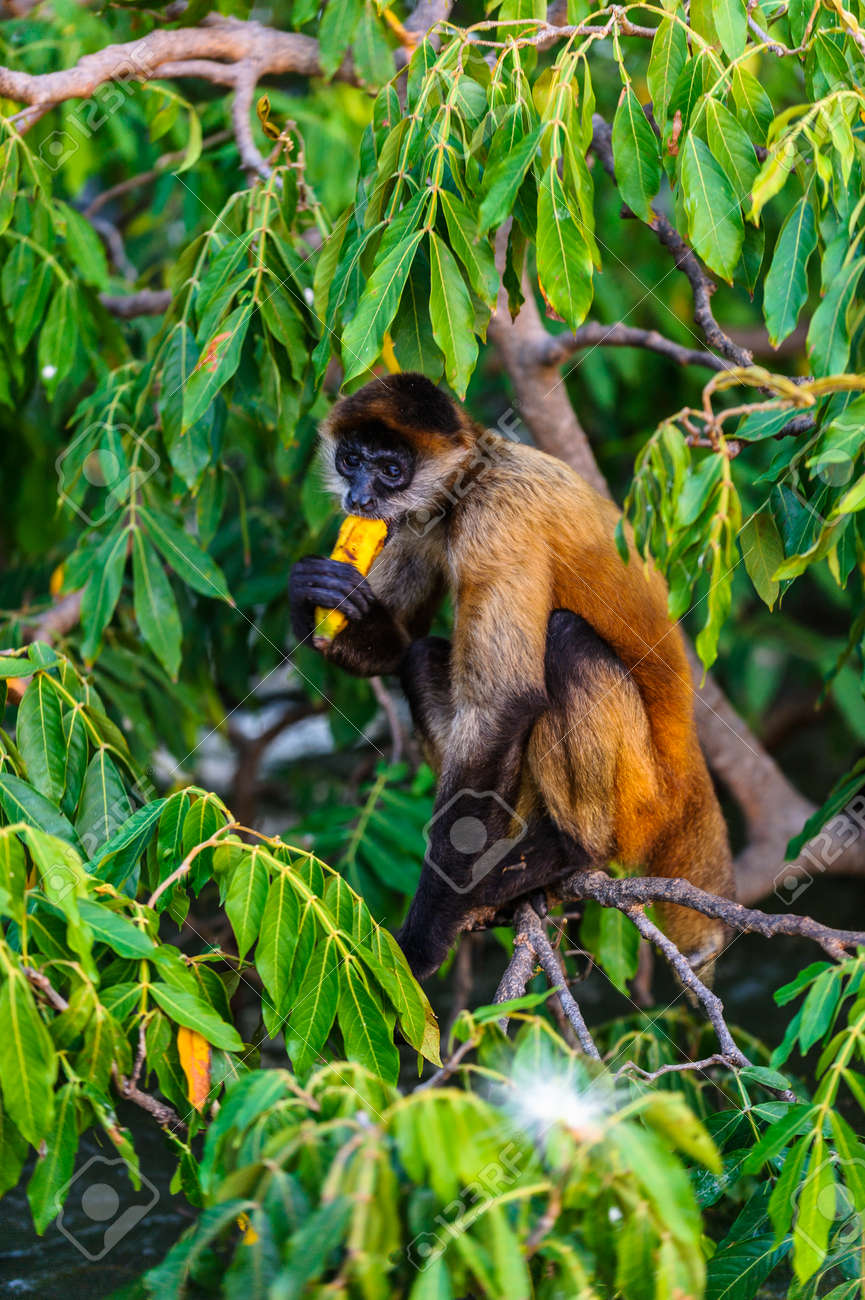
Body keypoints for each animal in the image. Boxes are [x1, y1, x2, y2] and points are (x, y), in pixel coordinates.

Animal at [288, 371, 728, 977]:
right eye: (351, 460)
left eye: (391, 470)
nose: (360, 498)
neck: (477, 473)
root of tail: (685, 769)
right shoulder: (424, 518)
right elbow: (401, 644)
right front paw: (314, 594)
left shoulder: (495, 518)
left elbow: (503, 705)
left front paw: (424, 938)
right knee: (421, 656)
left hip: (639, 792)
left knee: (564, 638)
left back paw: (572, 851)